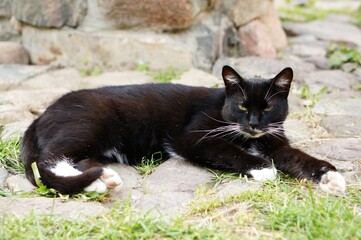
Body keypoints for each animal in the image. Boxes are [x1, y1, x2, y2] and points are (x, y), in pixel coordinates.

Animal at [21, 65, 344, 195]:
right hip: (90, 123)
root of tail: (43, 114)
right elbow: (229, 150)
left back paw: (104, 180)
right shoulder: (192, 137)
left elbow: (296, 157)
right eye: (242, 106)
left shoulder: (275, 141)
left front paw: (330, 177)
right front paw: (263, 167)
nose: (253, 124)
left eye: (267, 109)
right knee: (47, 159)